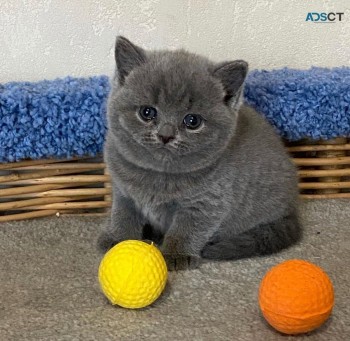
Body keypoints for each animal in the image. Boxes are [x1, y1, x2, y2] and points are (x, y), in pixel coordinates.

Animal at [98, 37, 300, 270]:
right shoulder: (123, 193)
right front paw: (118, 241)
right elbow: (122, 216)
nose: (166, 135)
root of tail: (293, 209)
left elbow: (187, 229)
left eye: (192, 121)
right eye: (147, 112)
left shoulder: (206, 202)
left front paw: (176, 254)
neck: (158, 175)